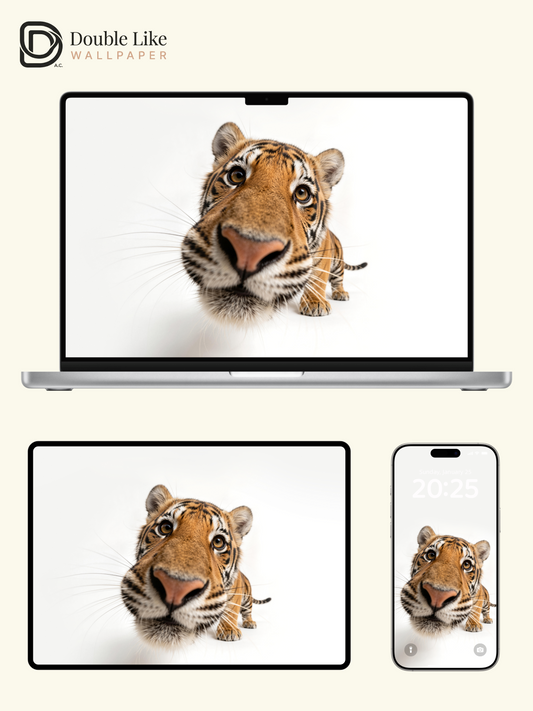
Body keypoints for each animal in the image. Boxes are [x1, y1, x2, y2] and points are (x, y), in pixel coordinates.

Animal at [120, 485, 271, 646]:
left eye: (218, 542)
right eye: (165, 527)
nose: (175, 589)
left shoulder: (236, 593)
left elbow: (231, 610)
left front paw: (229, 630)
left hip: (247, 597)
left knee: (247, 610)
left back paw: (249, 622)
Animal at [181, 122, 367, 324]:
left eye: (302, 193)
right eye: (237, 175)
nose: (248, 252)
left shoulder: (323, 257)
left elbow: (318, 278)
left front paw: (315, 303)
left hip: (338, 263)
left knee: (338, 278)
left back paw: (340, 293)